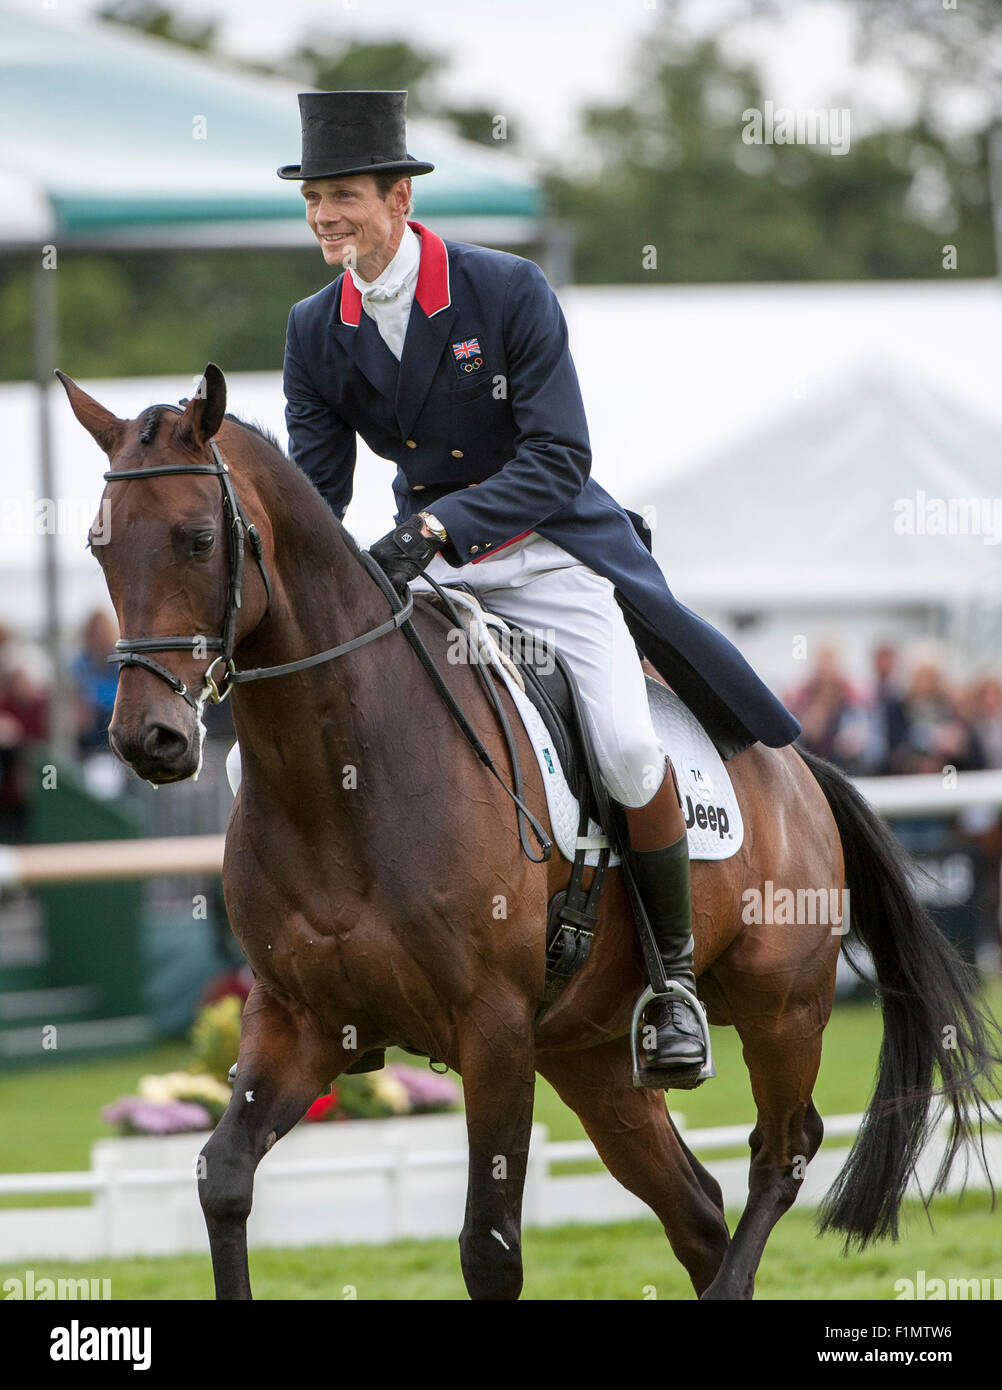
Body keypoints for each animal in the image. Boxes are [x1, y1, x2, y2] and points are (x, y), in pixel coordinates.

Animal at [56, 364, 1000, 1295]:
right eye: (101, 549)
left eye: (196, 539)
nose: (147, 739)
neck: (343, 778)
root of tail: (798, 765)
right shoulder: (300, 1019)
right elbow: (222, 1177)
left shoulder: (494, 1030)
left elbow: (490, 1249)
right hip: (590, 1053)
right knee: (696, 1206)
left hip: (783, 1007)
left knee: (783, 1152)